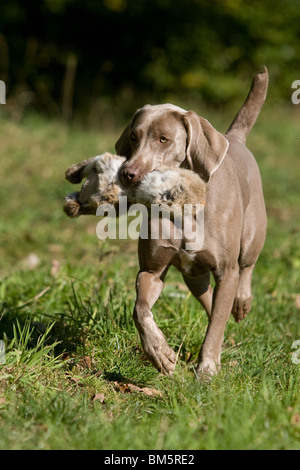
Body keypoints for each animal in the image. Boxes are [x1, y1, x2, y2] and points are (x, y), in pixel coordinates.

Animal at [116, 67, 268, 378]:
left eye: (164, 139)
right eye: (134, 136)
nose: (128, 173)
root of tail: (234, 138)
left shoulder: (227, 271)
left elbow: (217, 321)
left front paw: (207, 368)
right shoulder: (151, 270)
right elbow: (140, 308)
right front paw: (159, 353)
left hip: (253, 232)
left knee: (246, 266)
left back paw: (242, 302)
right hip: (193, 276)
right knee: (210, 302)